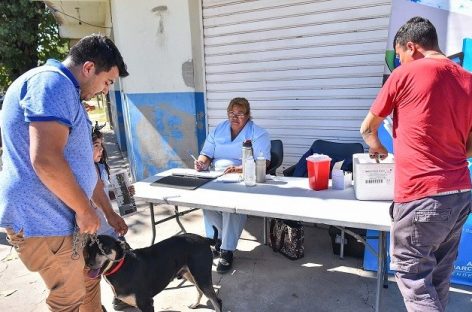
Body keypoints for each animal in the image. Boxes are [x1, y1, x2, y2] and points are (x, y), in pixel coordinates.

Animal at [83, 228, 223, 310]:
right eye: (88, 248)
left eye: (104, 249)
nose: (89, 264)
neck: (121, 267)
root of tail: (205, 239)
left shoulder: (146, 303)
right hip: (190, 274)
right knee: (200, 291)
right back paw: (195, 304)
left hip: (201, 276)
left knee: (217, 300)